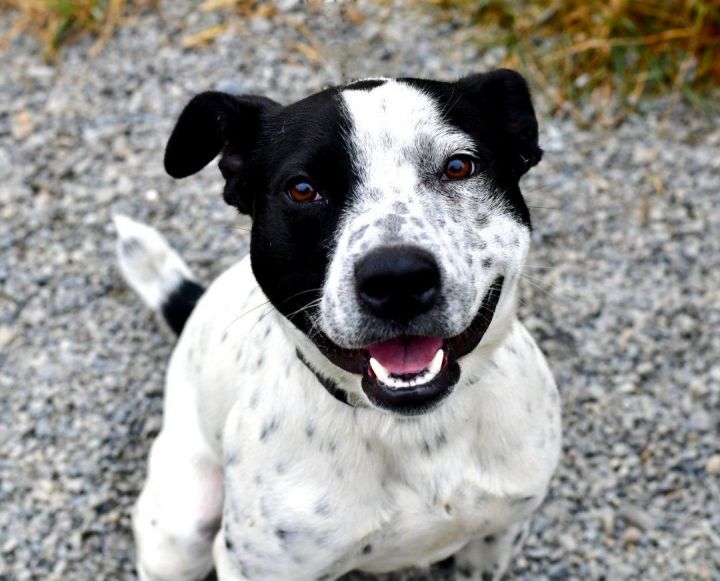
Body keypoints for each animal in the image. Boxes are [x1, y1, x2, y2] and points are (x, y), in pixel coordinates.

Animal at [114, 71, 564, 580]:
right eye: (302, 189)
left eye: (458, 166)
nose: (397, 277)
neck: (418, 433)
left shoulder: (497, 532)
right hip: (181, 531)